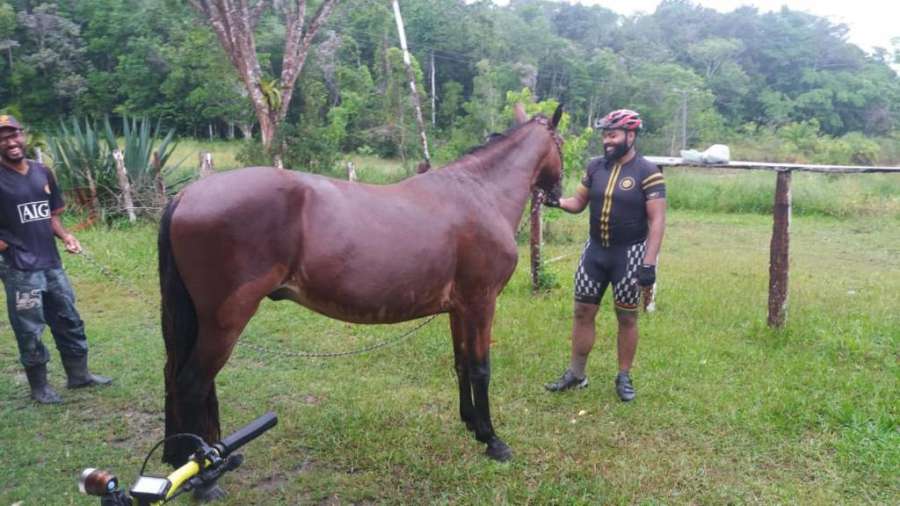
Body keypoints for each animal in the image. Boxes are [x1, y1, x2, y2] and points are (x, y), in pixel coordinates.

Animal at [158, 105, 560, 468]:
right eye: (560, 141)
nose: (557, 192)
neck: (480, 193)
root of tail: (186, 195)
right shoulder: (481, 302)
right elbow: (480, 369)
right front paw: (492, 439)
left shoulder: (459, 309)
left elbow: (461, 363)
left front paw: (471, 424)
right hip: (225, 320)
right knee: (192, 382)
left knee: (178, 377)